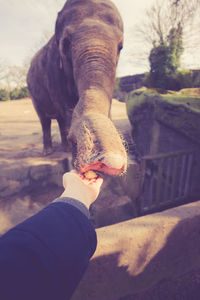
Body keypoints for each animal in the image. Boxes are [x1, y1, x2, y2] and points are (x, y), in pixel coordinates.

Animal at [27, 0, 126, 176]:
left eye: (120, 47)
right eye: (65, 43)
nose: (111, 159)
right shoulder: (53, 71)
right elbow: (66, 107)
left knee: (59, 119)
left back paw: (64, 147)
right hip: (33, 94)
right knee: (45, 120)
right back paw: (48, 152)